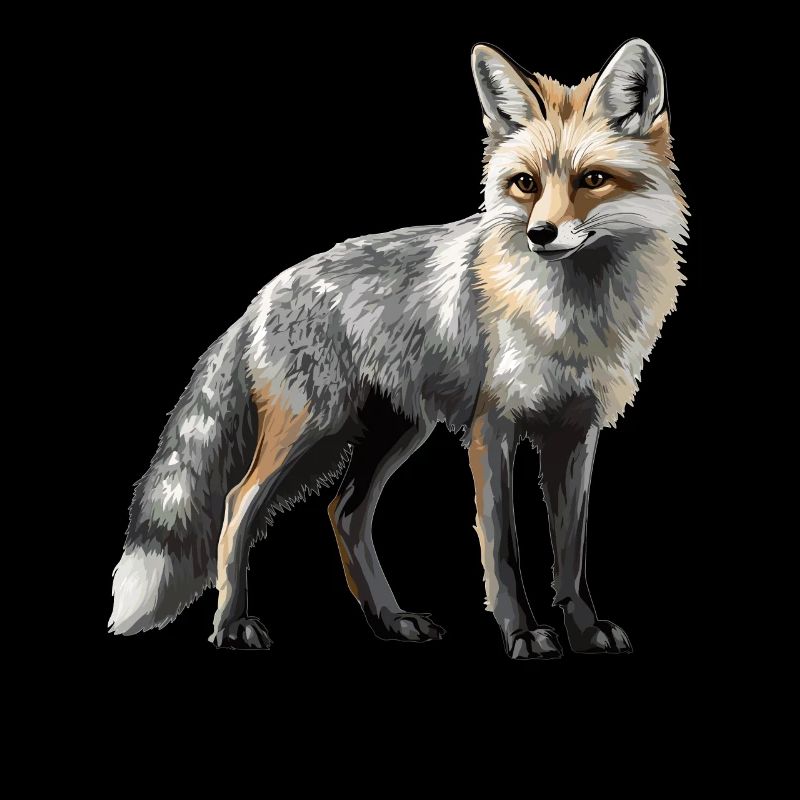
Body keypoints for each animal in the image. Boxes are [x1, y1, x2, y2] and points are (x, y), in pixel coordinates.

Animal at [109, 38, 687, 658]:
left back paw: (389, 621)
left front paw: (583, 630)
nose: (540, 234)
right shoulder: (492, 427)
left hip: (397, 431)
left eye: (593, 178)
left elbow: (571, 553)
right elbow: (502, 551)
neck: (572, 318)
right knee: (238, 506)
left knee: (344, 514)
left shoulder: (575, 432)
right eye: (526, 184)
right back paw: (230, 626)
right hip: (311, 427)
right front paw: (522, 633)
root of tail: (265, 293)